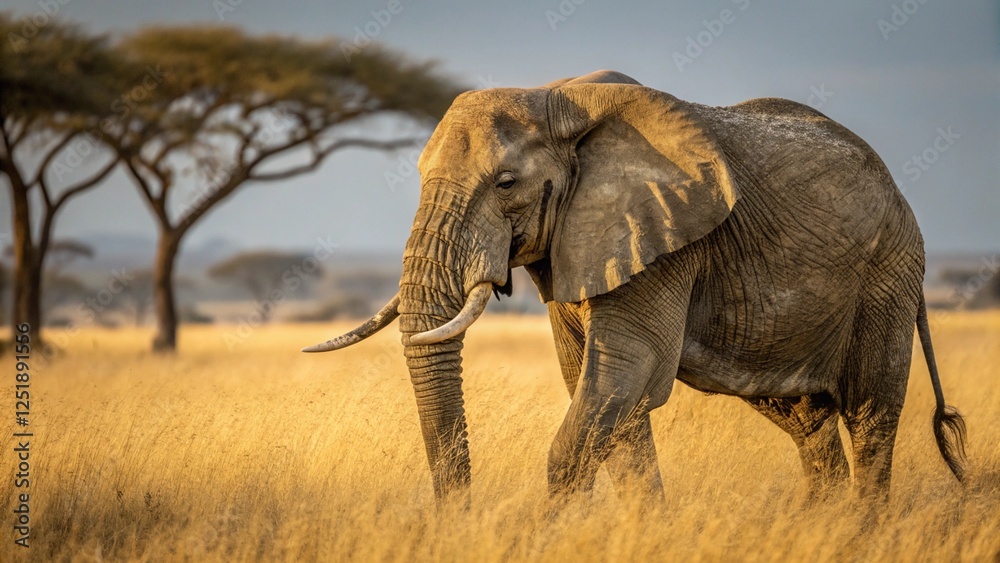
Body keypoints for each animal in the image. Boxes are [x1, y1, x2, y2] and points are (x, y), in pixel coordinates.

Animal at [303, 70, 967, 504]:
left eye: (506, 183)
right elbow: (603, 394)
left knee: (871, 414)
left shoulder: (664, 241)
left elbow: (620, 378)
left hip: (887, 271)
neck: (560, 98)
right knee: (807, 421)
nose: (458, 523)